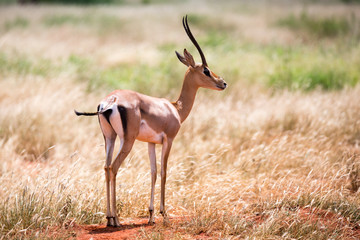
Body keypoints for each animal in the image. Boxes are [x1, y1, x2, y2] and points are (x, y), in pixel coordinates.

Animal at [75, 15, 228, 227]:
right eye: (206, 70)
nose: (223, 83)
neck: (175, 108)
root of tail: (110, 101)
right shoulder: (168, 140)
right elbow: (164, 172)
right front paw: (164, 213)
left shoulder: (150, 143)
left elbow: (153, 172)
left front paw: (151, 215)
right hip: (127, 141)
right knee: (114, 167)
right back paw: (116, 219)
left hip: (110, 138)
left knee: (106, 167)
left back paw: (108, 218)